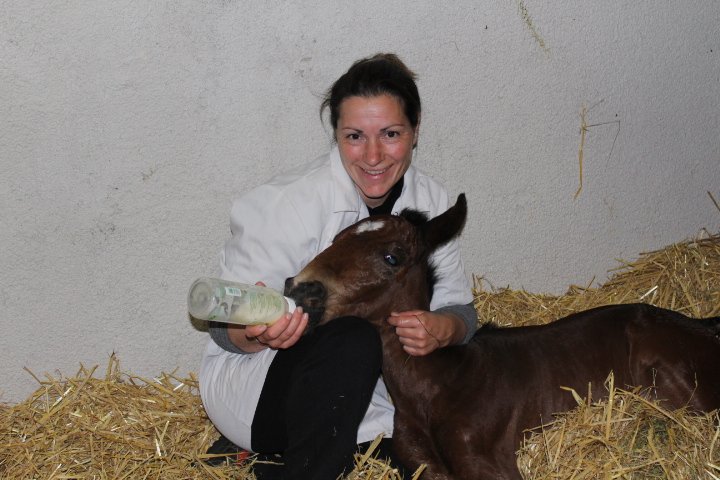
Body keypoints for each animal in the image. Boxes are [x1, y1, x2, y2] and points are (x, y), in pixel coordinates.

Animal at [284, 194, 720, 479]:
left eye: (392, 257)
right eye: (337, 239)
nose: (300, 289)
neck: (439, 384)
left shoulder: (490, 464)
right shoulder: (423, 465)